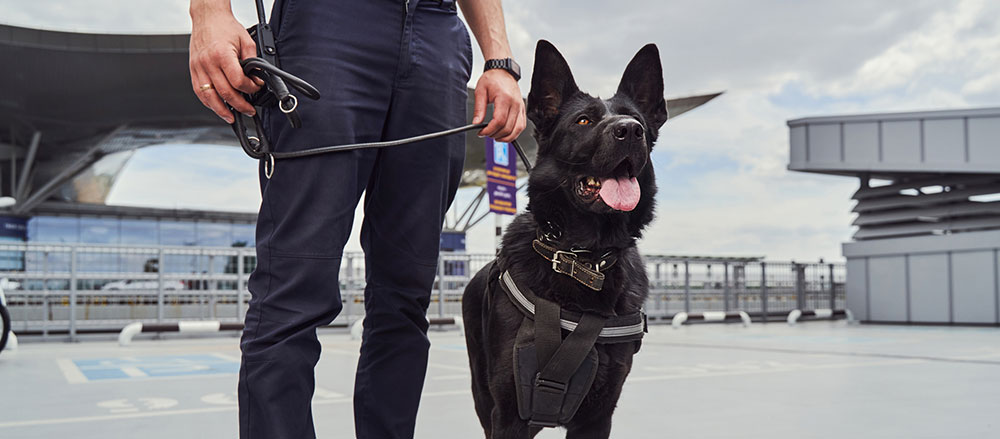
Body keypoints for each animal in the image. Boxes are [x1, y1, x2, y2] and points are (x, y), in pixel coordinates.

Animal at [462, 39, 668, 438]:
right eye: (583, 121)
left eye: (636, 119)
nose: (630, 130)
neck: (582, 258)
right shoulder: (507, 415)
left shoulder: (597, 417)